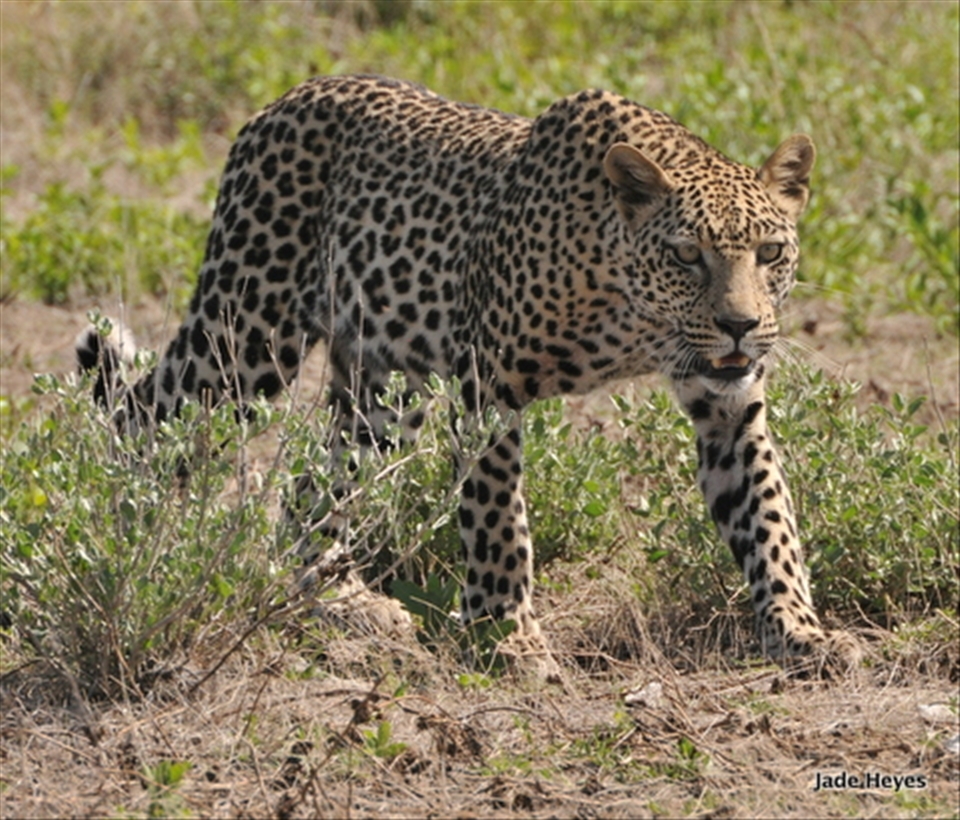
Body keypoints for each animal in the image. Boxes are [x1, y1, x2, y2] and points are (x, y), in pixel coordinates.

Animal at [78, 74, 858, 674]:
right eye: (687, 254)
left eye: (770, 252)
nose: (740, 325)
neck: (632, 309)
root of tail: (283, 100)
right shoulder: (489, 385)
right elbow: (496, 518)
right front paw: (507, 635)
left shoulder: (729, 404)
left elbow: (768, 516)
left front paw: (799, 629)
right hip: (245, 334)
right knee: (141, 415)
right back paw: (123, 542)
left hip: (385, 389)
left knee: (313, 487)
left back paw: (343, 600)